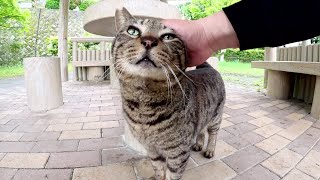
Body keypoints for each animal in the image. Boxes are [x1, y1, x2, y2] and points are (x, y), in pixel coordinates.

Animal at [111, 7, 226, 179]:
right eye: (132, 31)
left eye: (168, 36)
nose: (148, 41)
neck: (143, 104)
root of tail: (208, 67)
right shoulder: (151, 149)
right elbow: (158, 169)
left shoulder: (178, 153)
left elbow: (173, 174)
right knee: (201, 131)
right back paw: (199, 144)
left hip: (216, 116)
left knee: (213, 134)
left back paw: (210, 149)